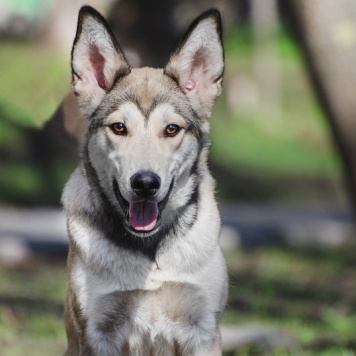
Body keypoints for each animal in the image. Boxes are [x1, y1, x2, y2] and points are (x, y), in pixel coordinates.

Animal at [62, 5, 228, 356]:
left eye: (172, 129)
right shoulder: (97, 333)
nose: (145, 183)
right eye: (119, 127)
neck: (150, 253)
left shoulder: (203, 330)